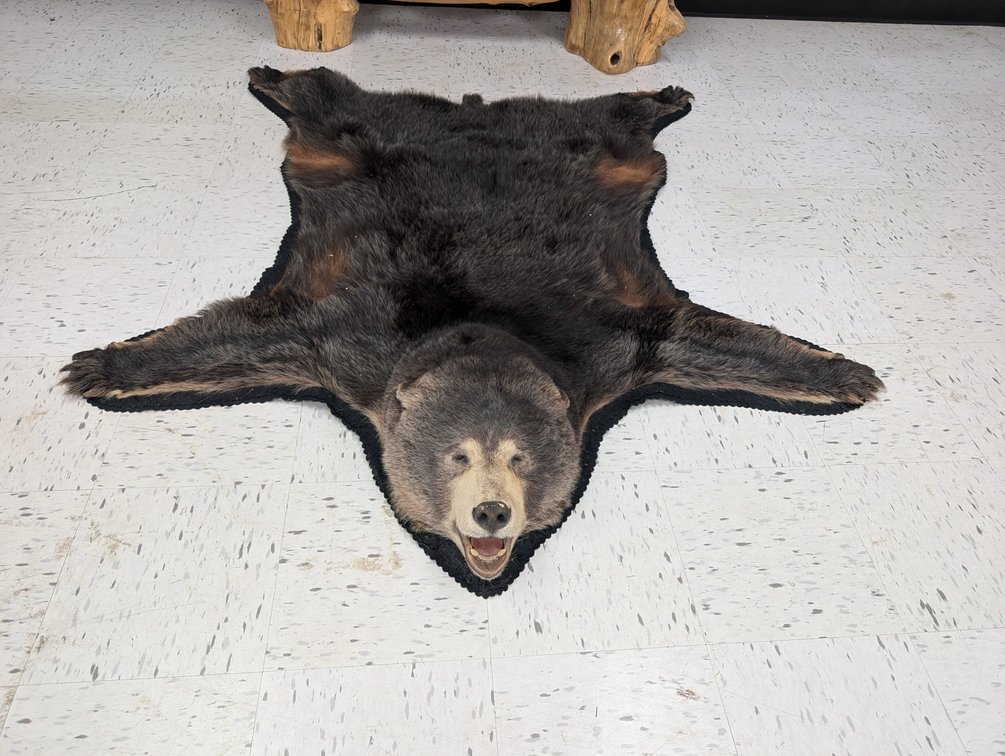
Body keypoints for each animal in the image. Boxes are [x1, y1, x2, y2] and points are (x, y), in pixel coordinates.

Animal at [62, 67, 883, 586]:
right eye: (457, 458)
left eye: (520, 458)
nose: (492, 513)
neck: (477, 331)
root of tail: (471, 109)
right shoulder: (345, 340)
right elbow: (243, 333)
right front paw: (99, 365)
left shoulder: (610, 343)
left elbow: (694, 337)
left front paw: (846, 373)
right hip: (362, 138)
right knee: (334, 104)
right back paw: (274, 76)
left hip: (589, 156)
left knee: (609, 126)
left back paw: (663, 95)